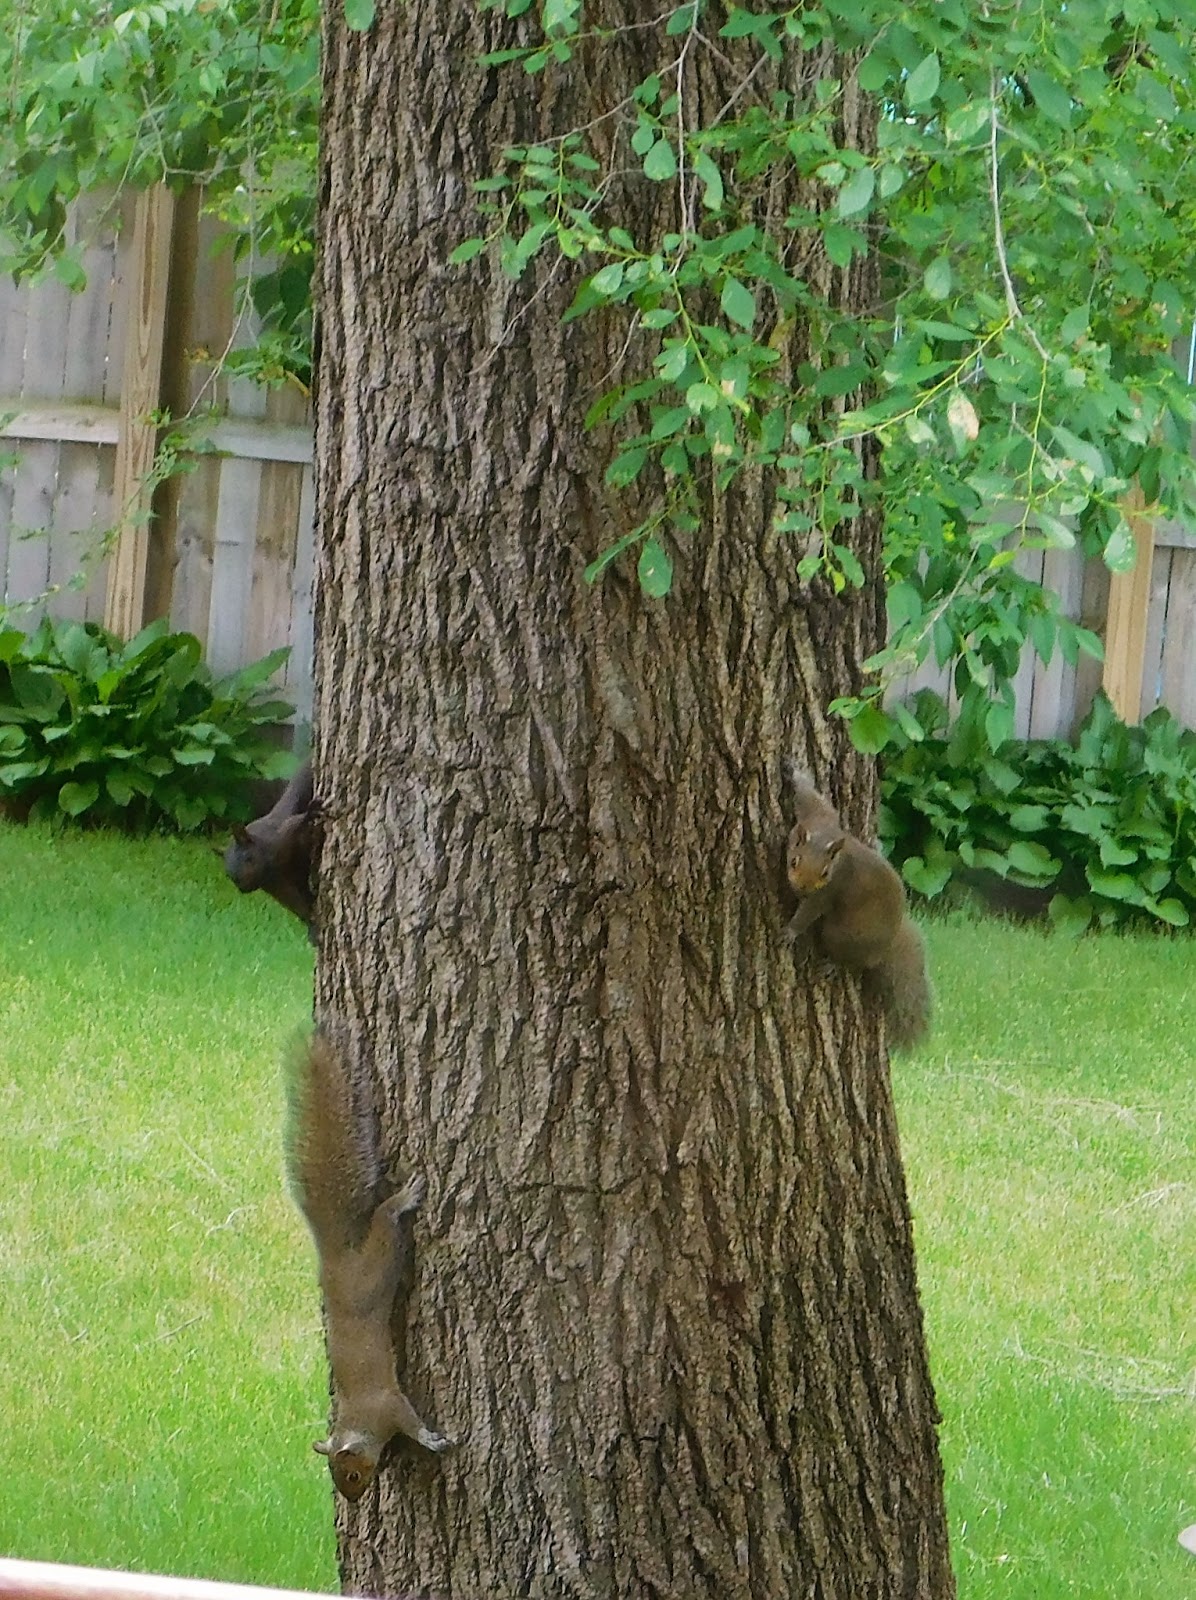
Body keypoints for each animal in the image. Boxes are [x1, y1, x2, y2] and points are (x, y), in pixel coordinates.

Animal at [225, 759, 320, 939]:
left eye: (247, 858)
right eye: (227, 873)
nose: (241, 888)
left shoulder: (279, 837)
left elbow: (294, 824)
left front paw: (310, 814)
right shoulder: (276, 886)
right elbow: (296, 903)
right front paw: (311, 923)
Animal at [287, 1030, 451, 1500]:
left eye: (353, 1475)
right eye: (340, 1477)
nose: (354, 1497)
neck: (358, 1421)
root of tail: (334, 1259)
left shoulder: (389, 1405)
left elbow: (412, 1423)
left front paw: (432, 1440)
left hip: (376, 1264)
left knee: (384, 1218)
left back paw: (404, 1198)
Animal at [781, 759, 931, 1051]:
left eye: (825, 873)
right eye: (795, 860)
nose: (802, 887)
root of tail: (884, 947)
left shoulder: (827, 893)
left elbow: (808, 913)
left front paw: (790, 932)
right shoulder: (819, 816)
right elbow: (813, 798)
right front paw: (796, 774)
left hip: (841, 935)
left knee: (853, 963)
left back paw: (833, 966)